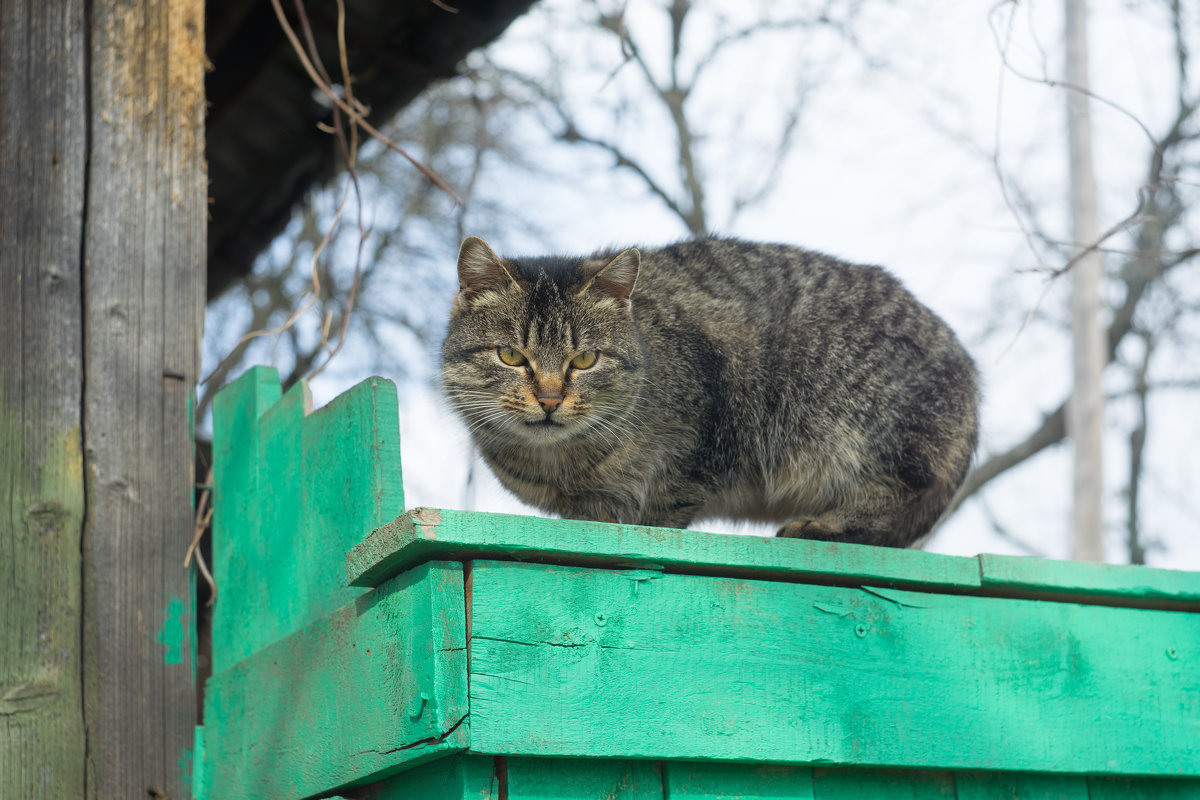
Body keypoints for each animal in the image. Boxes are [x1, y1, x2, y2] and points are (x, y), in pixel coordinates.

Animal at [436, 235, 979, 546]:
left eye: (585, 360)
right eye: (512, 357)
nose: (550, 400)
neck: (565, 464)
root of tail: (968, 371)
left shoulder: (707, 434)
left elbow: (664, 511)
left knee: (899, 492)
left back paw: (826, 525)